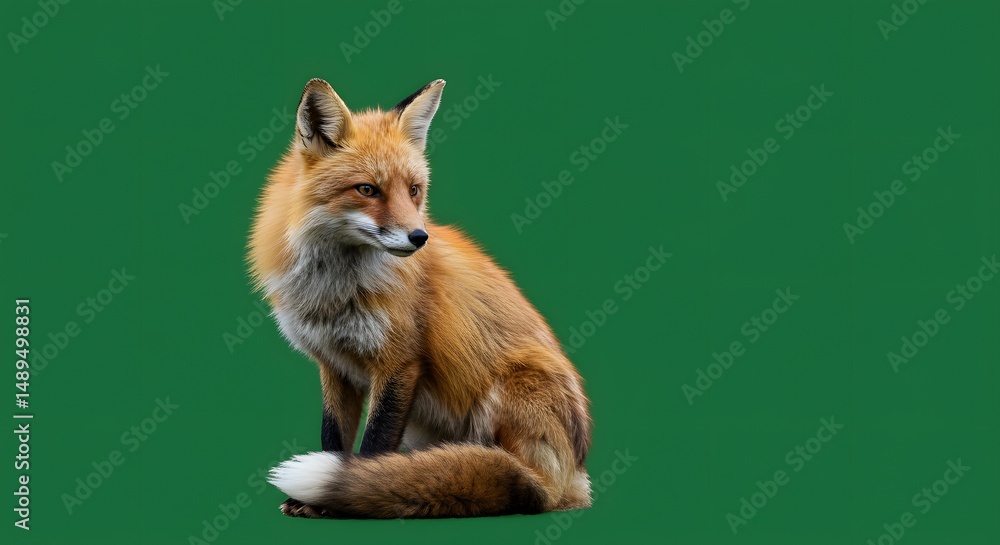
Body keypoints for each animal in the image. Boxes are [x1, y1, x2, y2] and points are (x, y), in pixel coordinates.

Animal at [248, 78, 592, 518]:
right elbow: (332, 438)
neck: (336, 293)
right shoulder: (333, 364)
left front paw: (351, 495)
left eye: (414, 191)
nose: (419, 237)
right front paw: (315, 503)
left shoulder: (400, 362)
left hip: (513, 388)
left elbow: (375, 446)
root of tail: (574, 478)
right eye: (367, 190)